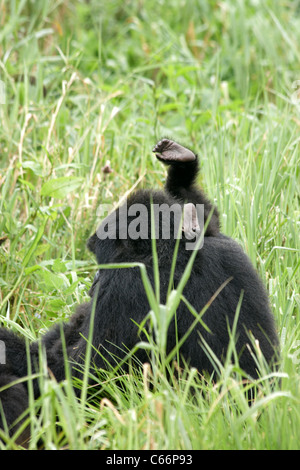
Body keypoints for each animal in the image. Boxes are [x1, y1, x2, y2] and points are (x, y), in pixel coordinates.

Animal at [0, 138, 278, 442]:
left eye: (102, 261)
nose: (95, 282)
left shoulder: (127, 288)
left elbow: (78, 376)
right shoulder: (227, 248)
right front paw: (182, 174)